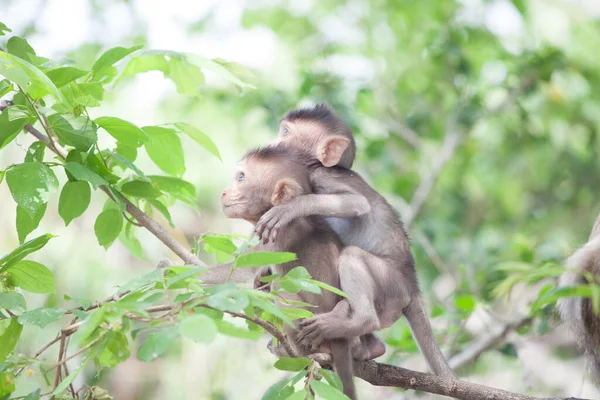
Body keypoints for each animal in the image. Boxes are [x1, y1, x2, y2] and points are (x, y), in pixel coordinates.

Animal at [224, 146, 358, 396]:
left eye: (241, 178)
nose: (224, 193)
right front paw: (260, 278)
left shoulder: (278, 234)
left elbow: (241, 268)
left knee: (284, 294)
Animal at [254, 104, 454, 378]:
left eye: (285, 132)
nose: (271, 144)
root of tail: (412, 287)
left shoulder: (321, 176)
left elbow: (357, 203)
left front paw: (290, 208)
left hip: (391, 283)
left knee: (352, 256)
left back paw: (355, 323)